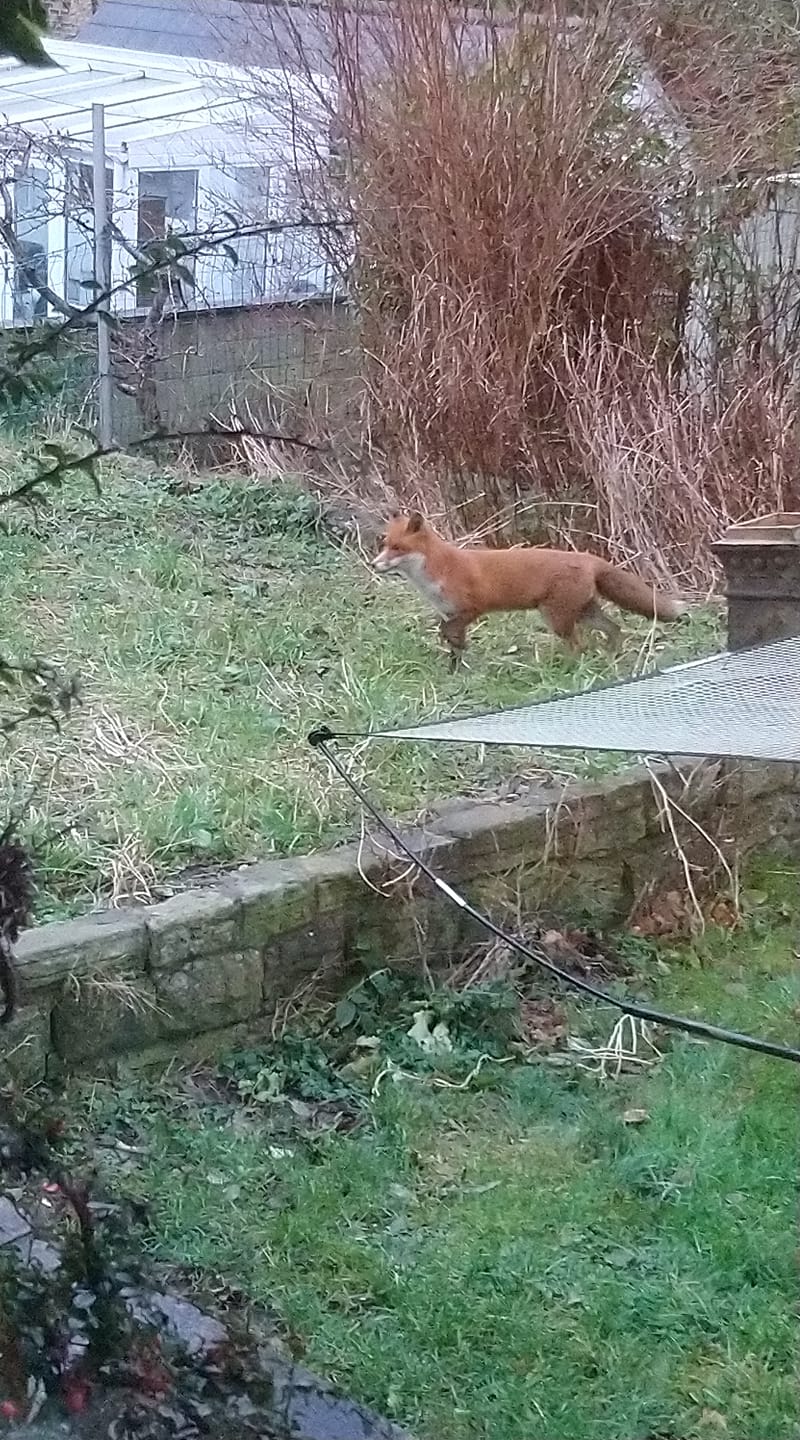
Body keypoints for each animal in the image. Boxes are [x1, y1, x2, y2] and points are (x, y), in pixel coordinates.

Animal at [373, 512, 688, 668]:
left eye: (398, 548)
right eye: (384, 544)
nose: (374, 565)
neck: (437, 572)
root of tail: (588, 557)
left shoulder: (472, 608)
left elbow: (448, 633)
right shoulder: (449, 613)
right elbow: (454, 645)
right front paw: (456, 670)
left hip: (557, 618)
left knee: (580, 645)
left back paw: (567, 668)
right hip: (583, 613)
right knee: (614, 628)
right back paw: (612, 657)